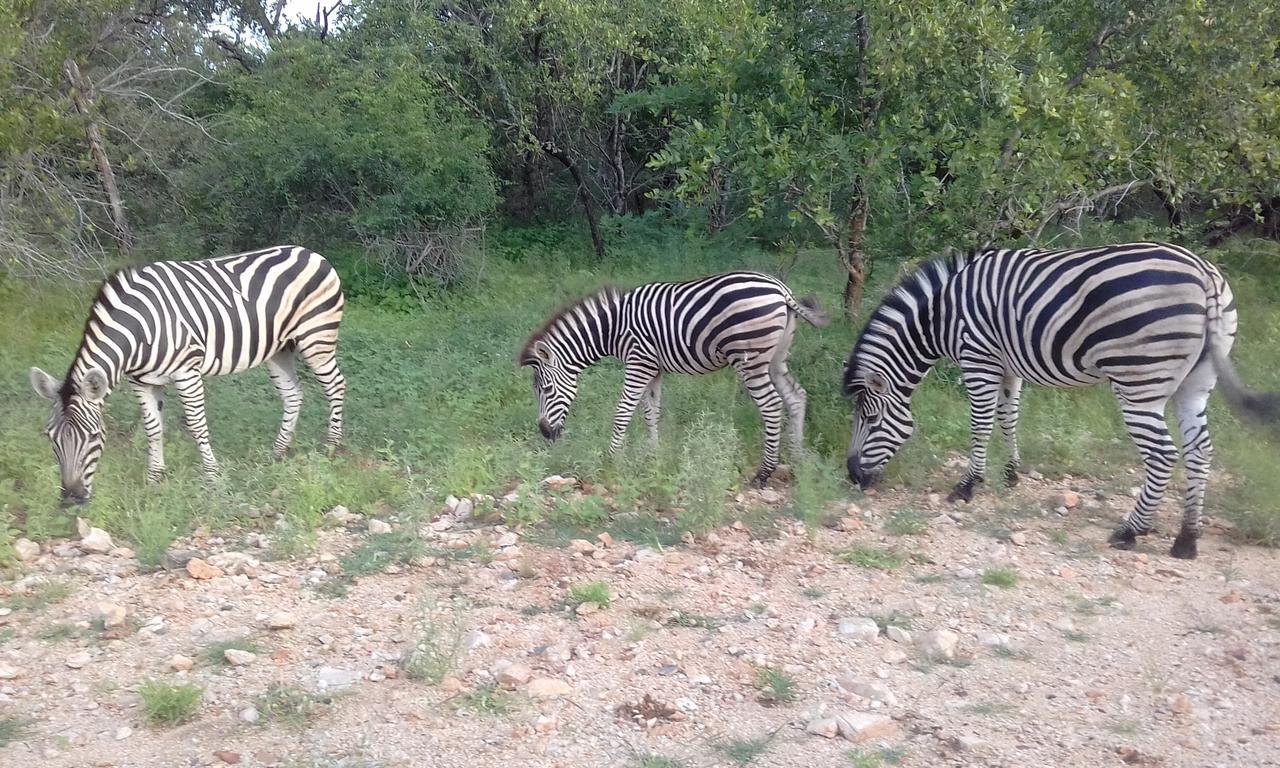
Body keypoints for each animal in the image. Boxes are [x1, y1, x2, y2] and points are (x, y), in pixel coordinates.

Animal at [30, 244, 348, 504]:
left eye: (94, 436)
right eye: (50, 437)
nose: (71, 499)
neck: (139, 330)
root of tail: (311, 253)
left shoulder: (187, 373)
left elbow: (197, 425)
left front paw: (212, 477)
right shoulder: (141, 382)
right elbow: (153, 428)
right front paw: (154, 478)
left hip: (316, 337)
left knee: (336, 385)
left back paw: (331, 447)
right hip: (279, 349)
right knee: (293, 393)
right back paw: (278, 451)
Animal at [519, 272, 829, 483]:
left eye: (546, 389)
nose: (545, 433)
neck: (613, 328)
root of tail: (781, 290)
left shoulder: (638, 363)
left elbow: (623, 411)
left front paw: (611, 459)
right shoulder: (653, 368)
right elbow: (651, 412)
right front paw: (653, 456)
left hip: (749, 358)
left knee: (771, 405)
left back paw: (764, 472)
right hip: (775, 358)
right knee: (797, 396)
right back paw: (797, 461)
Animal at [844, 241, 1274, 558]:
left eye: (872, 420)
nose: (852, 477)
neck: (940, 316)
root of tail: (1204, 274)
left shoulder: (977, 357)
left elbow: (980, 424)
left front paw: (967, 486)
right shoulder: (1008, 365)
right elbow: (1009, 417)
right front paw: (1011, 474)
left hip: (1140, 382)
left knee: (1164, 455)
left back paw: (1130, 531)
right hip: (1196, 383)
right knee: (1200, 451)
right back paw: (1186, 539)